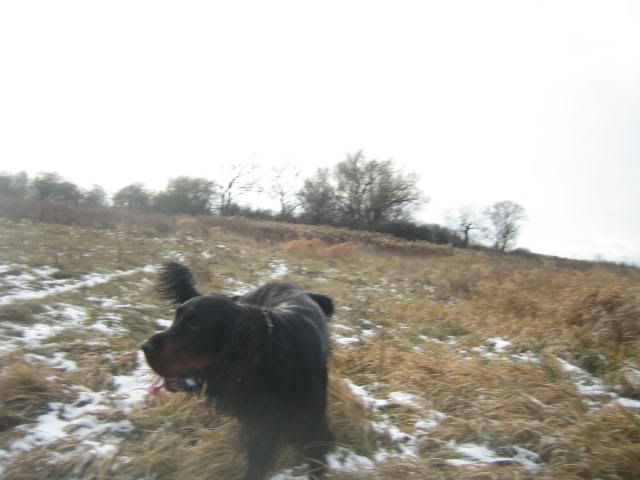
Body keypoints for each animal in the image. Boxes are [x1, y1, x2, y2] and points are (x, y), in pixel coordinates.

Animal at [142, 262, 335, 480]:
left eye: (195, 323)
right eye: (176, 317)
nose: (145, 347)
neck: (270, 362)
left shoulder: (314, 434)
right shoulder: (261, 431)